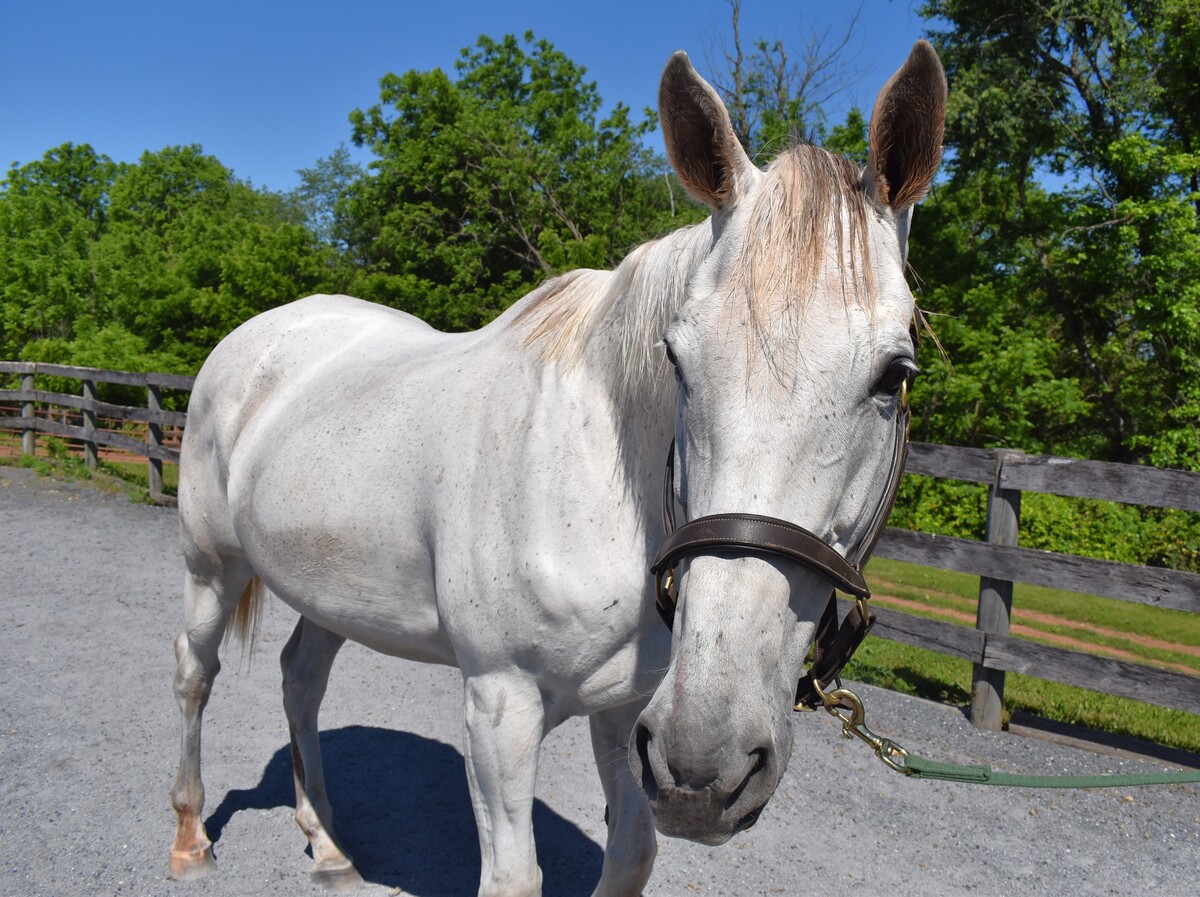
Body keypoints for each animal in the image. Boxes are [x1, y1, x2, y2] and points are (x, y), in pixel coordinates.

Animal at [168, 40, 946, 897]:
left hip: (331, 591)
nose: (708, 766)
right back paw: (190, 838)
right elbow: (515, 875)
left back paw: (330, 844)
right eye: (677, 358)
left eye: (894, 375)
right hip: (210, 564)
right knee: (195, 674)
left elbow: (632, 850)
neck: (599, 487)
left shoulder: (630, 716)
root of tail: (261, 334)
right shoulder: (499, 704)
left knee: (300, 677)